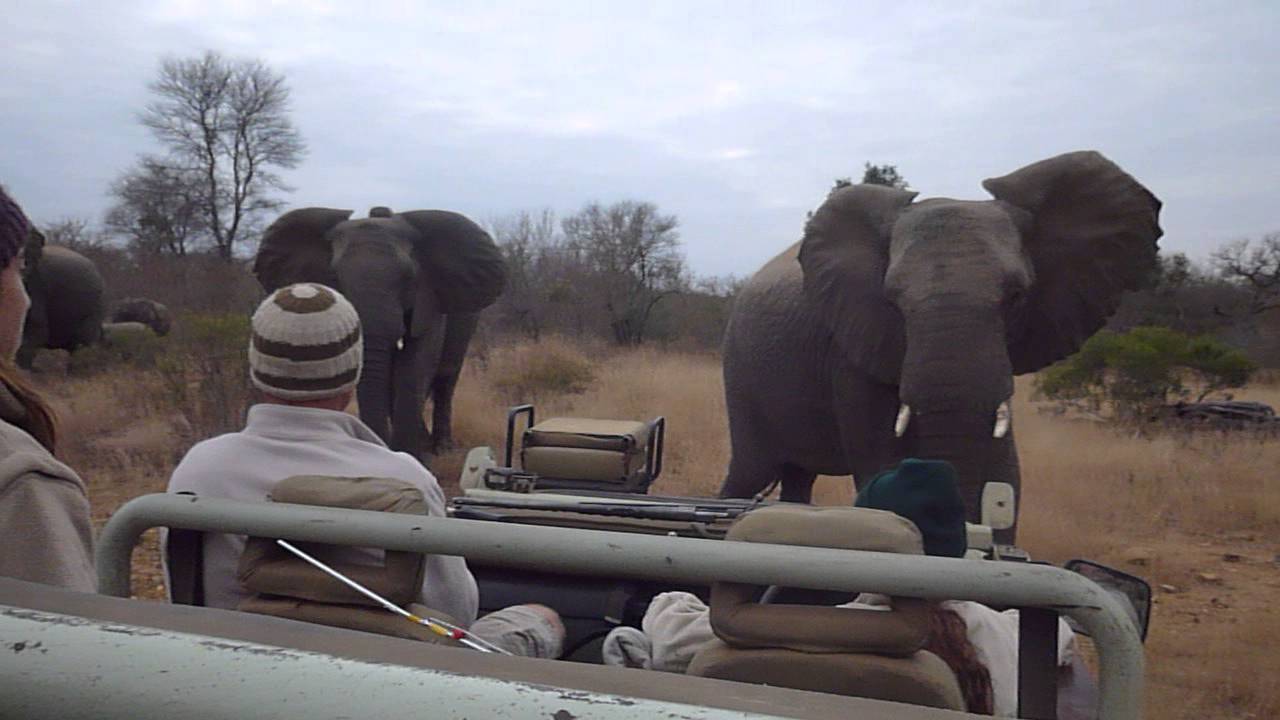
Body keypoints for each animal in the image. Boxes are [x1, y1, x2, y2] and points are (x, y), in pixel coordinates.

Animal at [253, 206, 506, 460]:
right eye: (334, 277)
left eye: (408, 277)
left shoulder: (428, 302)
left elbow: (414, 368)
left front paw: (413, 456)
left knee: (446, 376)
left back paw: (441, 448)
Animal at [718, 151, 1162, 540]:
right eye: (892, 300)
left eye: (1017, 296)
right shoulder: (852, 348)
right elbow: (882, 462)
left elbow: (1006, 473)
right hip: (740, 371)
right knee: (751, 471)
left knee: (797, 476)